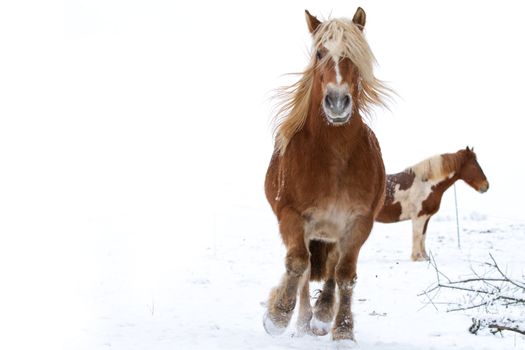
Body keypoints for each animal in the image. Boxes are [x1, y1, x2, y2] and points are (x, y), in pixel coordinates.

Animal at [264, 7, 386, 342]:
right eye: (320, 53)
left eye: (354, 54)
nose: (337, 102)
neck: (333, 158)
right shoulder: (292, 216)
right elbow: (297, 265)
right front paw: (277, 316)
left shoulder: (358, 222)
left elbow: (344, 274)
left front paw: (341, 328)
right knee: (305, 271)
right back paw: (302, 320)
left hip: (332, 232)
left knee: (331, 267)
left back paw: (320, 317)